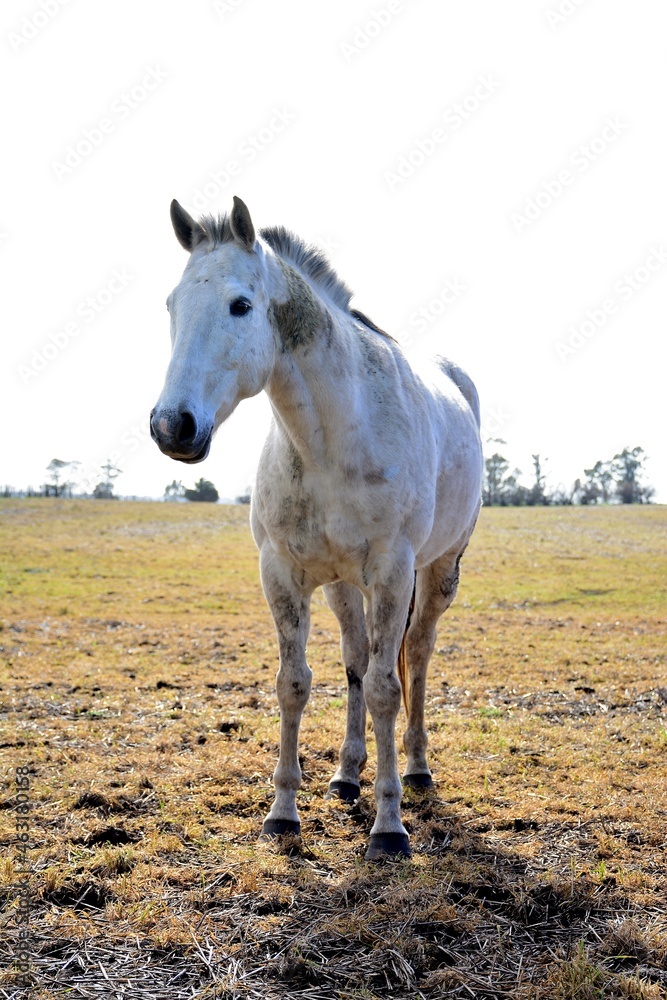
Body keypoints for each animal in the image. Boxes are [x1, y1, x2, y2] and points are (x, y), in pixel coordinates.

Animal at [150, 196, 483, 859]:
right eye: (172, 305)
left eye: (240, 304)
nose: (172, 425)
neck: (332, 438)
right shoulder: (283, 574)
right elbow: (295, 683)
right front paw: (283, 812)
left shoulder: (392, 573)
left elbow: (386, 688)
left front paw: (389, 828)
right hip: (341, 586)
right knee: (356, 658)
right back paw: (348, 774)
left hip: (436, 573)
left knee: (415, 656)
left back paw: (415, 768)